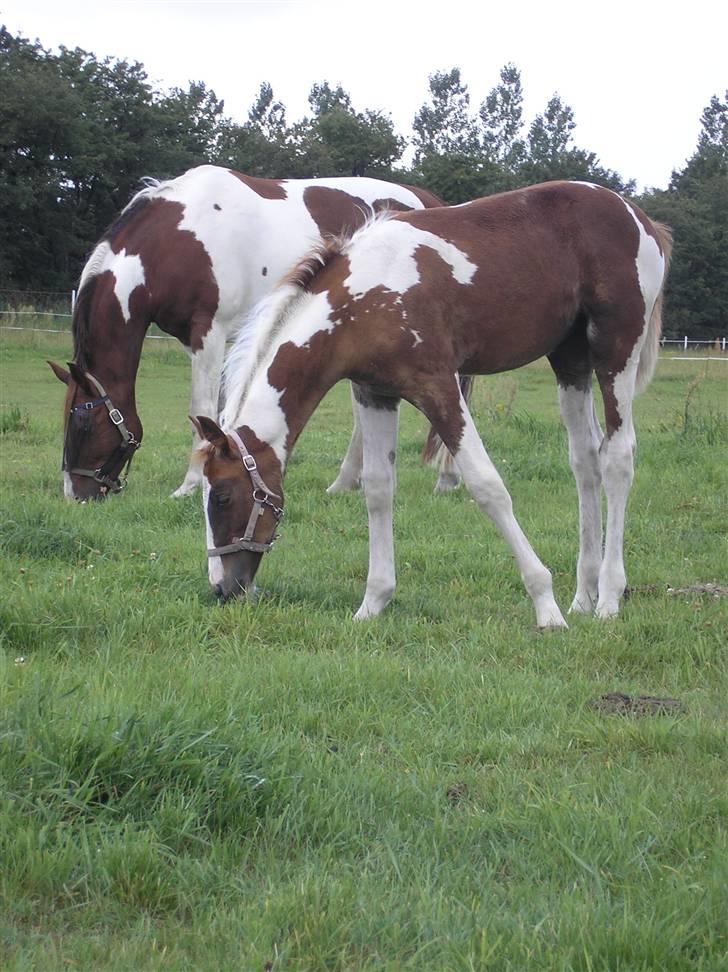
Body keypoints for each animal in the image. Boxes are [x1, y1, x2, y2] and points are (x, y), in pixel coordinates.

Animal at [48, 164, 446, 502]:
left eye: (83, 423)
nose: (75, 495)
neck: (179, 241)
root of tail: (426, 201)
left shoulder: (208, 333)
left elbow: (200, 410)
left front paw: (190, 485)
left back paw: (445, 480)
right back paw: (346, 483)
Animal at [193, 178, 672, 628]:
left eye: (222, 497)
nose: (222, 588)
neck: (364, 297)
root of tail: (639, 217)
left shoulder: (438, 386)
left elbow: (486, 485)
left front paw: (545, 606)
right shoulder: (375, 393)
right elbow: (377, 489)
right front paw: (373, 603)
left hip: (615, 351)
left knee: (617, 458)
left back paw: (608, 598)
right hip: (570, 361)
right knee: (585, 462)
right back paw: (583, 597)